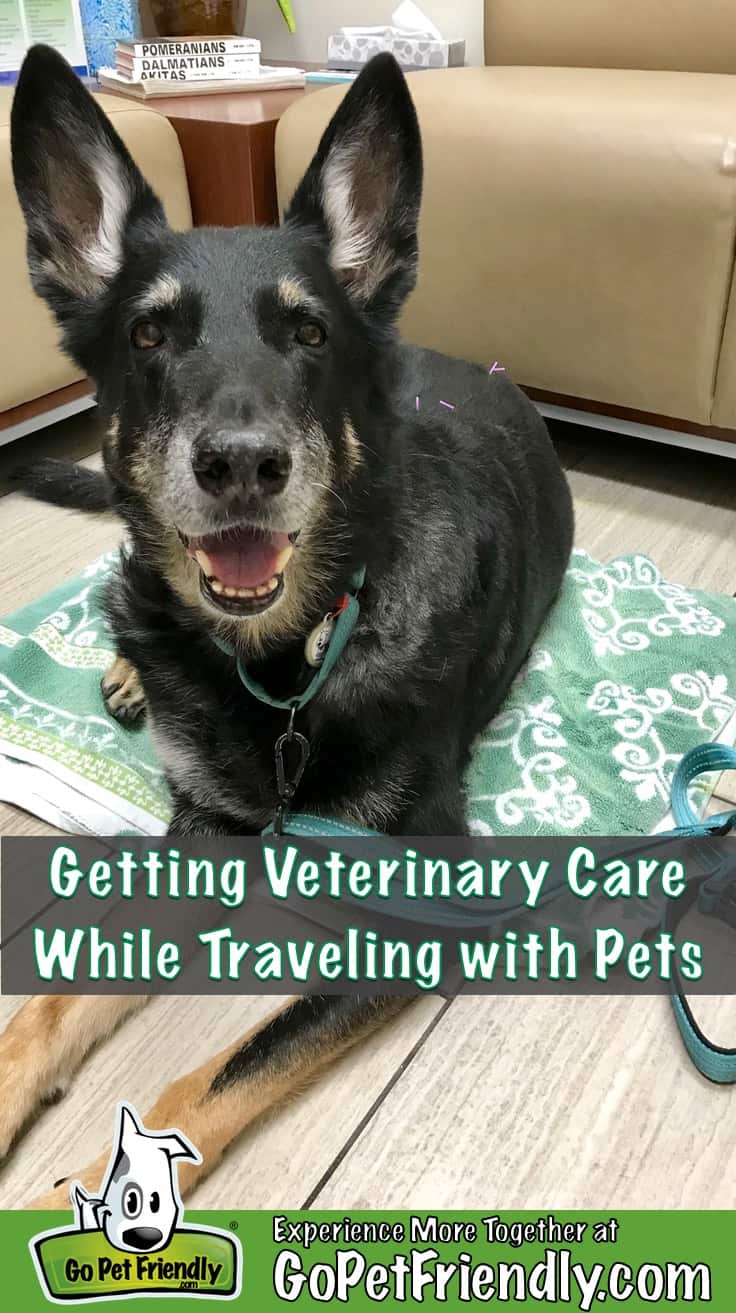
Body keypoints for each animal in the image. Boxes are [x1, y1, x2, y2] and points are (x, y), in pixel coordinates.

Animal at [0, 46, 574, 1202]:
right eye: (148, 334)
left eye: (308, 332)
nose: (240, 466)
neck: (287, 667)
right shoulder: (202, 832)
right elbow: (50, 1001)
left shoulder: (424, 914)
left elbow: (220, 1071)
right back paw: (129, 673)